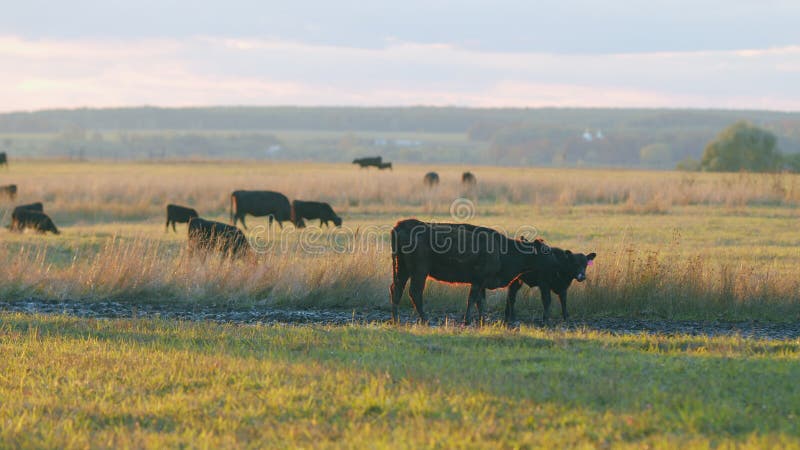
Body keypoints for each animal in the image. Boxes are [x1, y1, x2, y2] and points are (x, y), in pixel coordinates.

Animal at [390, 218, 552, 324]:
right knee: (415, 292)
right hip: (419, 272)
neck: (501, 250)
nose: (553, 261)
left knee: (396, 289)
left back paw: (395, 319)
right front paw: (467, 320)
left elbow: (480, 302)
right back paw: (424, 319)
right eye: (545, 251)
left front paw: (482, 320)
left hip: (402, 269)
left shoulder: (481, 283)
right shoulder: (478, 280)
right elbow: (472, 299)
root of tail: (400, 225)